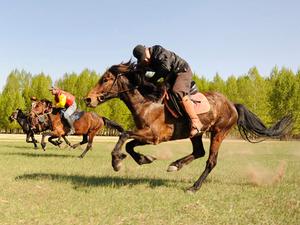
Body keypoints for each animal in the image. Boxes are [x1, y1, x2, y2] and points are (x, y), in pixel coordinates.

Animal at [83, 60, 292, 192]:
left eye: (106, 79)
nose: (88, 99)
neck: (147, 102)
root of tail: (232, 104)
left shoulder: (154, 135)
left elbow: (124, 135)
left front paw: (116, 162)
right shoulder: (149, 136)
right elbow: (129, 144)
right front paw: (144, 159)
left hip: (219, 132)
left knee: (211, 161)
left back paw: (194, 187)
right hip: (196, 133)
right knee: (199, 152)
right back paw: (175, 165)